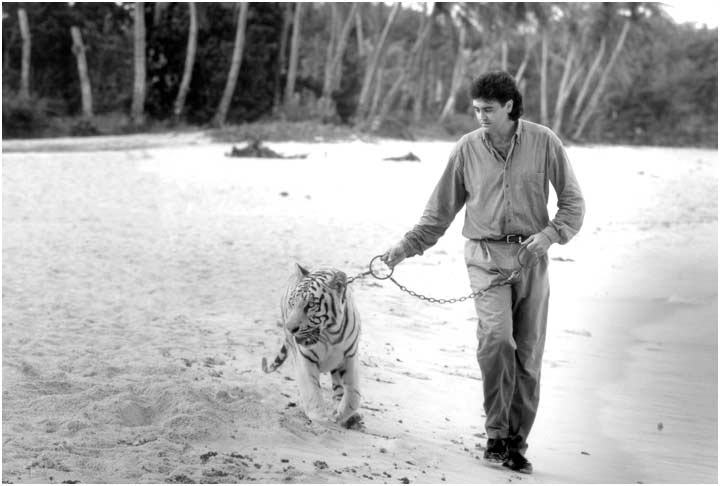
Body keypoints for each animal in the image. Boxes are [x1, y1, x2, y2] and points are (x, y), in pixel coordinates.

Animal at [262, 263, 361, 427]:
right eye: (292, 303)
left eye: (310, 305)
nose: (290, 328)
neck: (330, 335)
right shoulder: (305, 359)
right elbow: (311, 391)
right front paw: (320, 418)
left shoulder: (349, 357)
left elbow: (353, 395)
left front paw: (341, 414)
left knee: (338, 388)